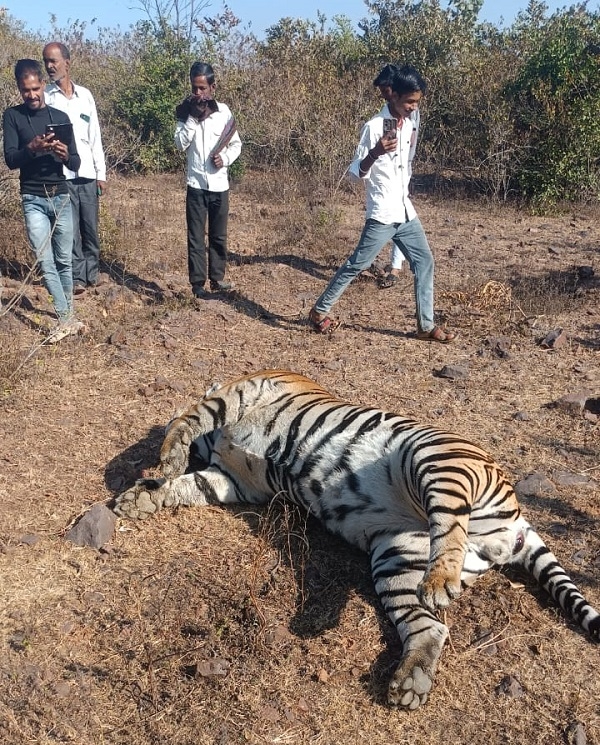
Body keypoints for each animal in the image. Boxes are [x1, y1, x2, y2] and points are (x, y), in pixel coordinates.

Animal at [113, 369, 599, 710]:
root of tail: (515, 522)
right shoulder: (233, 481)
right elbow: (184, 486)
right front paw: (138, 499)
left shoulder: (245, 390)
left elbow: (189, 418)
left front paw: (167, 456)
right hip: (396, 560)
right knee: (431, 625)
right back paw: (409, 683)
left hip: (436, 458)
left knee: (450, 527)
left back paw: (441, 584)